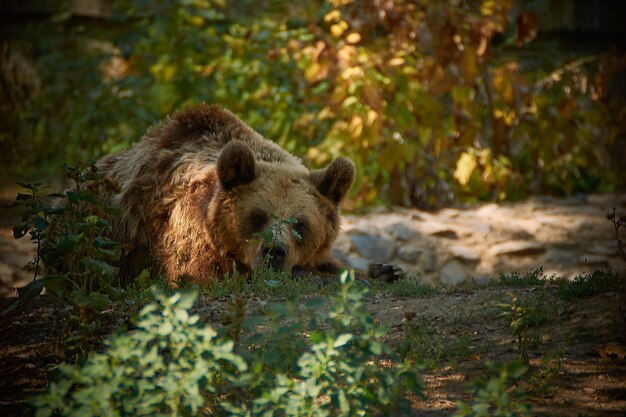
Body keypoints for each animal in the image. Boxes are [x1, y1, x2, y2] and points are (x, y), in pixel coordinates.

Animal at [96, 103, 400, 282]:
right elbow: (202, 273)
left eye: (301, 224)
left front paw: (385, 270)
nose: (274, 252)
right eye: (258, 216)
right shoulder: (183, 232)